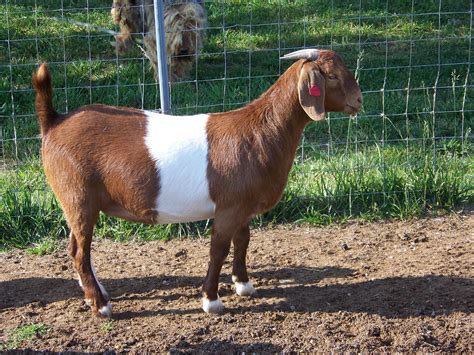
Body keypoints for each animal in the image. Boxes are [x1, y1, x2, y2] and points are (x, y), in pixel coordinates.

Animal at [31, 48, 362, 318]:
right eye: (331, 75)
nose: (359, 100)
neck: (261, 130)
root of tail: (55, 121)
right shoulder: (229, 207)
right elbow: (219, 248)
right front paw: (211, 300)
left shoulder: (243, 206)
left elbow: (243, 241)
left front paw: (244, 284)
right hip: (77, 197)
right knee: (79, 251)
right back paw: (101, 305)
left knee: (76, 248)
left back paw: (95, 294)